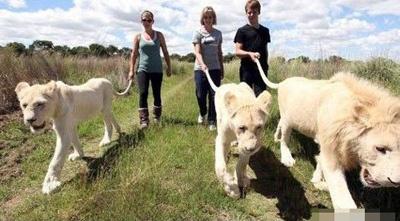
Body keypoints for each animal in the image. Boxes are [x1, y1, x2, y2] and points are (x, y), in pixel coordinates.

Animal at [205, 69, 274, 199]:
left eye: (259, 127)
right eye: (241, 127)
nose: (251, 148)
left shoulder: (247, 147)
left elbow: (241, 164)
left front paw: (241, 180)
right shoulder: (222, 139)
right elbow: (221, 168)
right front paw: (232, 189)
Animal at [255, 60, 400, 209]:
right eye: (380, 149)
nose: (395, 182)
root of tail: (284, 82)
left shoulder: (326, 144)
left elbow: (320, 161)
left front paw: (317, 179)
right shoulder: (332, 152)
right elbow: (344, 200)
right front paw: (320, 183)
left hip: (286, 118)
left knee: (280, 124)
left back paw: (275, 137)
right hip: (288, 120)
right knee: (284, 139)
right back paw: (287, 158)